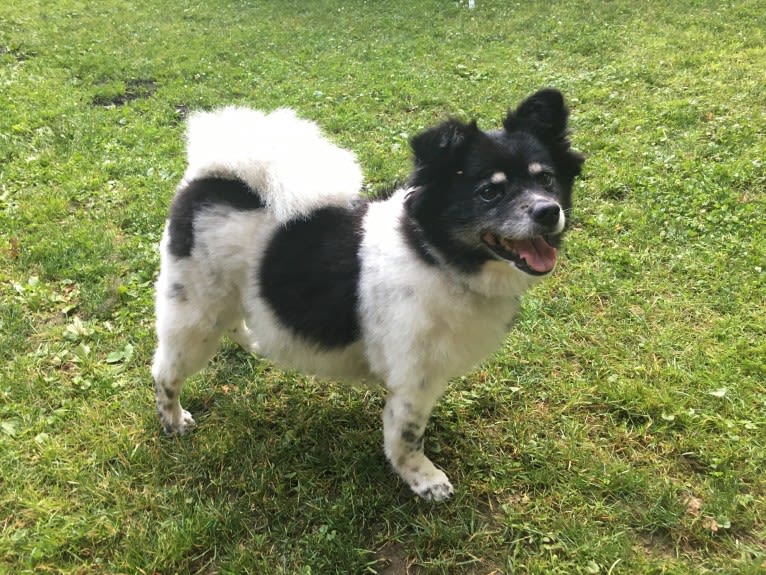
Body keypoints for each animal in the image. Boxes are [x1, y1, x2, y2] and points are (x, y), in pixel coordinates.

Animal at [153, 89, 584, 500]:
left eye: (546, 179)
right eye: (489, 192)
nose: (549, 211)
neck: (433, 254)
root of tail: (213, 176)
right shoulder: (414, 377)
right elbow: (406, 436)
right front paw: (422, 478)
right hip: (195, 314)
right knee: (165, 372)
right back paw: (173, 419)